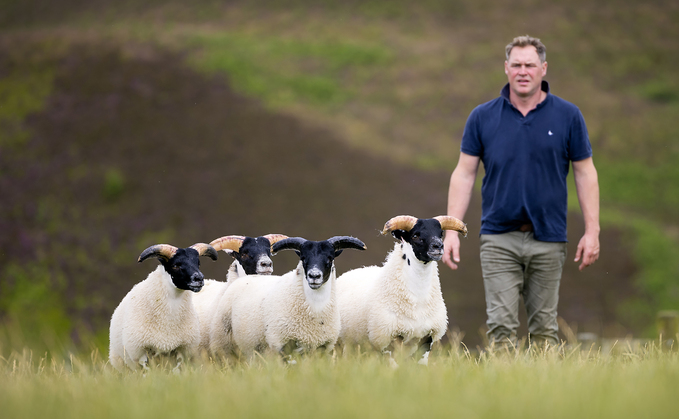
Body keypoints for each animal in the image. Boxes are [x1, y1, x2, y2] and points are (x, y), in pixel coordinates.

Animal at [109, 243, 218, 374]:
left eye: (198, 263)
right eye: (175, 265)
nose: (199, 279)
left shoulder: (181, 350)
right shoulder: (141, 352)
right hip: (122, 363)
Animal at [209, 236, 366, 360]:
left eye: (330, 258)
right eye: (303, 258)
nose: (314, 276)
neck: (315, 309)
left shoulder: (321, 348)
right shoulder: (282, 345)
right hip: (225, 345)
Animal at [336, 217, 468, 368]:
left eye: (441, 234)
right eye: (415, 235)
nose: (438, 246)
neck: (418, 301)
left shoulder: (427, 336)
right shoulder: (389, 336)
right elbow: (395, 364)